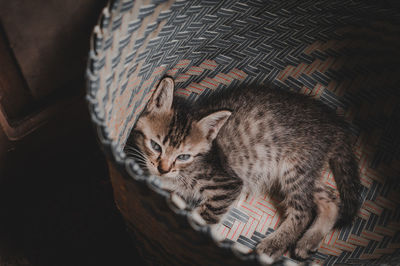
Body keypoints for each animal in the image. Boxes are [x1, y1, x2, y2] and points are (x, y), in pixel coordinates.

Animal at [126, 76, 362, 262]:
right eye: (155, 146)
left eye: (183, 156)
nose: (163, 169)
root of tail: (334, 123)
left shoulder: (227, 184)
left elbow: (202, 217)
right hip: (306, 169)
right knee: (331, 199)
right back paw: (308, 241)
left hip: (294, 167)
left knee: (304, 210)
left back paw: (274, 245)